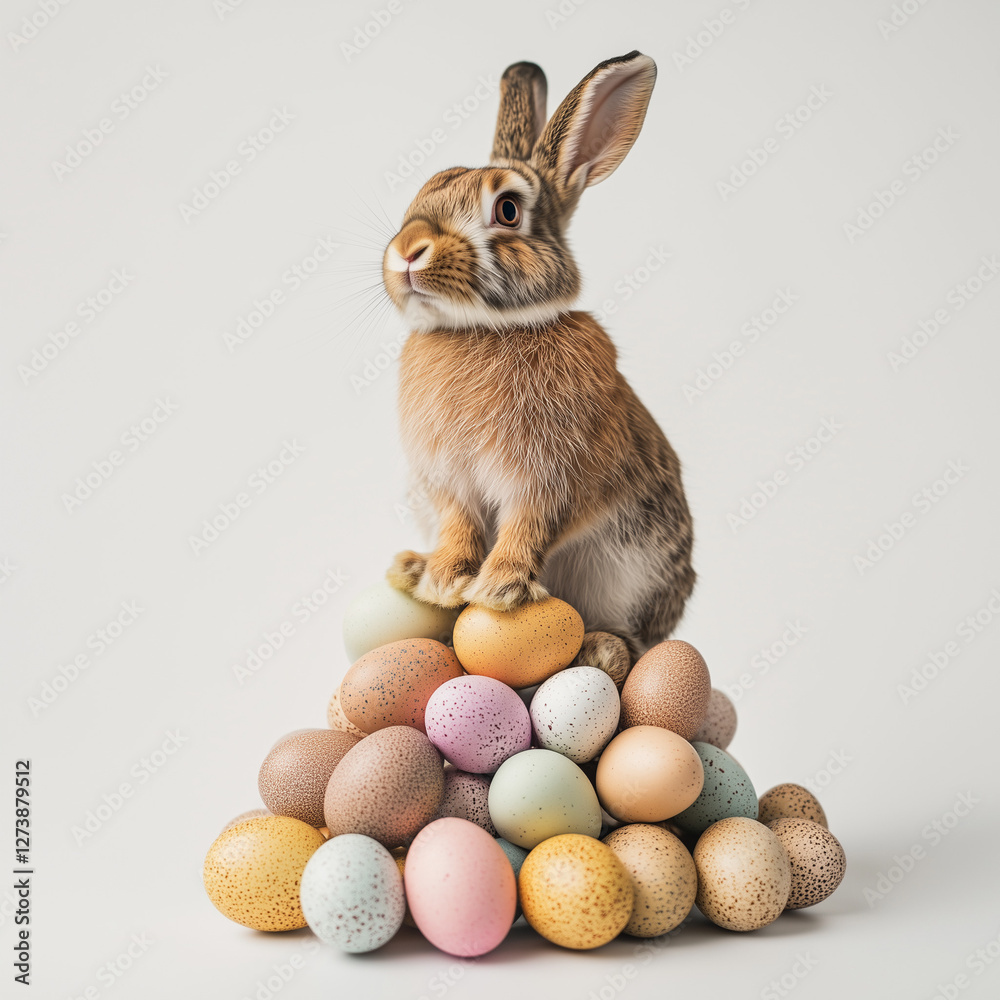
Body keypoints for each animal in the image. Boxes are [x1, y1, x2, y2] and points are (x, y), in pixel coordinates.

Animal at [381, 51, 695, 685]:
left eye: (507, 210)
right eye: (421, 193)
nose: (406, 251)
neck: (481, 330)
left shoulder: (552, 476)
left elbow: (529, 526)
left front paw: (498, 590)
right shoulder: (448, 483)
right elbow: (459, 525)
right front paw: (444, 580)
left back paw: (603, 651)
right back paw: (412, 568)